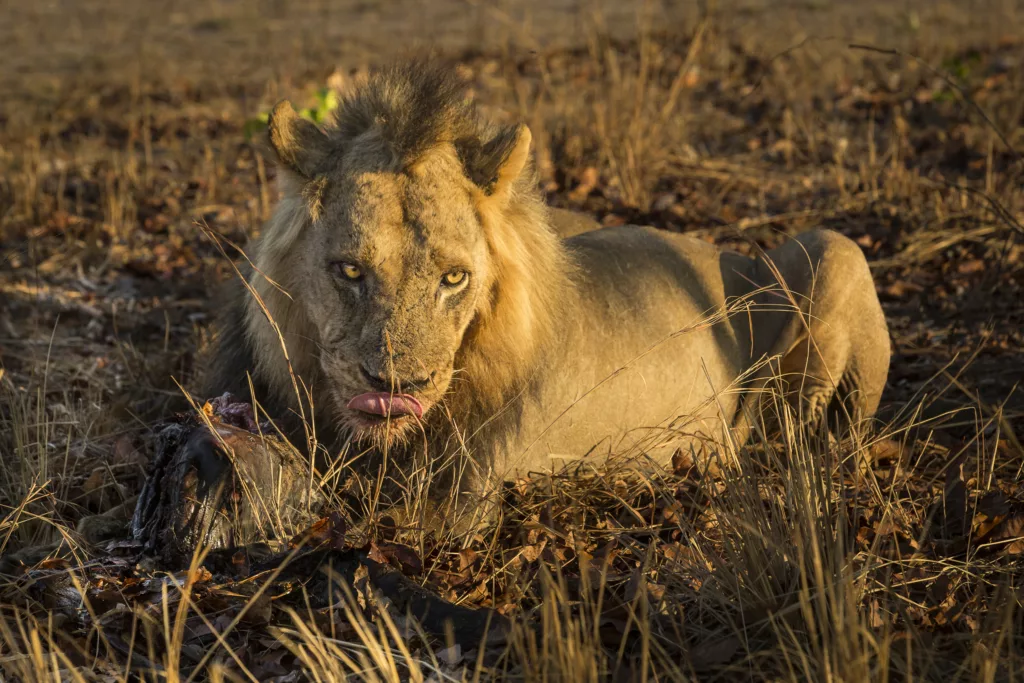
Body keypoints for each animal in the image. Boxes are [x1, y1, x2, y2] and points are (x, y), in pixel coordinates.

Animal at [199, 61, 888, 516]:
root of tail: (730, 253)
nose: (397, 387)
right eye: (349, 271)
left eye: (454, 278)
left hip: (835, 250)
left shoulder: (460, 503)